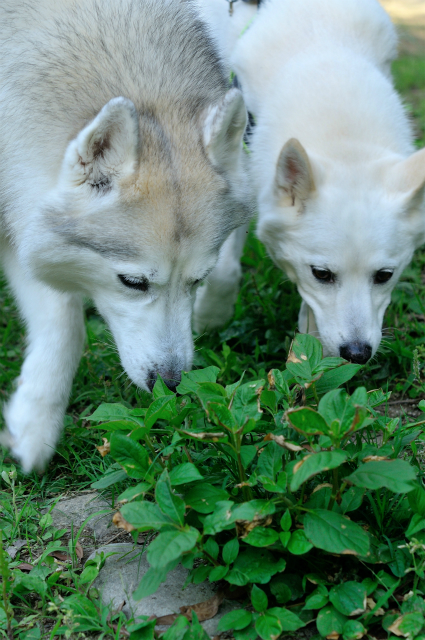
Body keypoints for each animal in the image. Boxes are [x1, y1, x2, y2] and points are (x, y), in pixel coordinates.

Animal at [0, 0, 252, 470]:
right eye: (132, 282)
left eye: (198, 279)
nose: (170, 384)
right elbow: (67, 323)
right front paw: (36, 420)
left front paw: (34, 419)